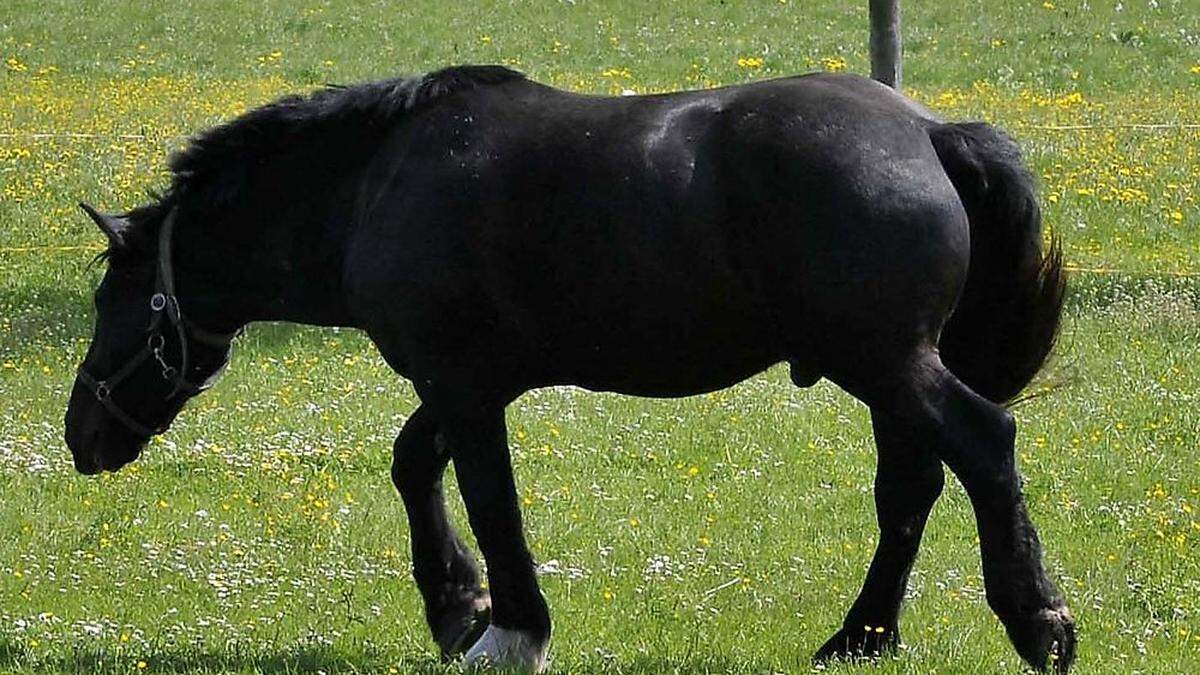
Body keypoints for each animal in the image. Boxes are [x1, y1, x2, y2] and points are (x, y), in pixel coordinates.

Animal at [65, 65, 1075, 667]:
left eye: (114, 301)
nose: (80, 436)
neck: (376, 185)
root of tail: (930, 133)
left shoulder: (464, 386)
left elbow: (490, 501)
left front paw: (509, 627)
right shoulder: (465, 381)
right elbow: (414, 464)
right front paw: (456, 605)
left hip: (887, 363)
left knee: (983, 446)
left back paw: (1039, 623)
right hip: (884, 370)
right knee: (910, 489)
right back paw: (861, 636)